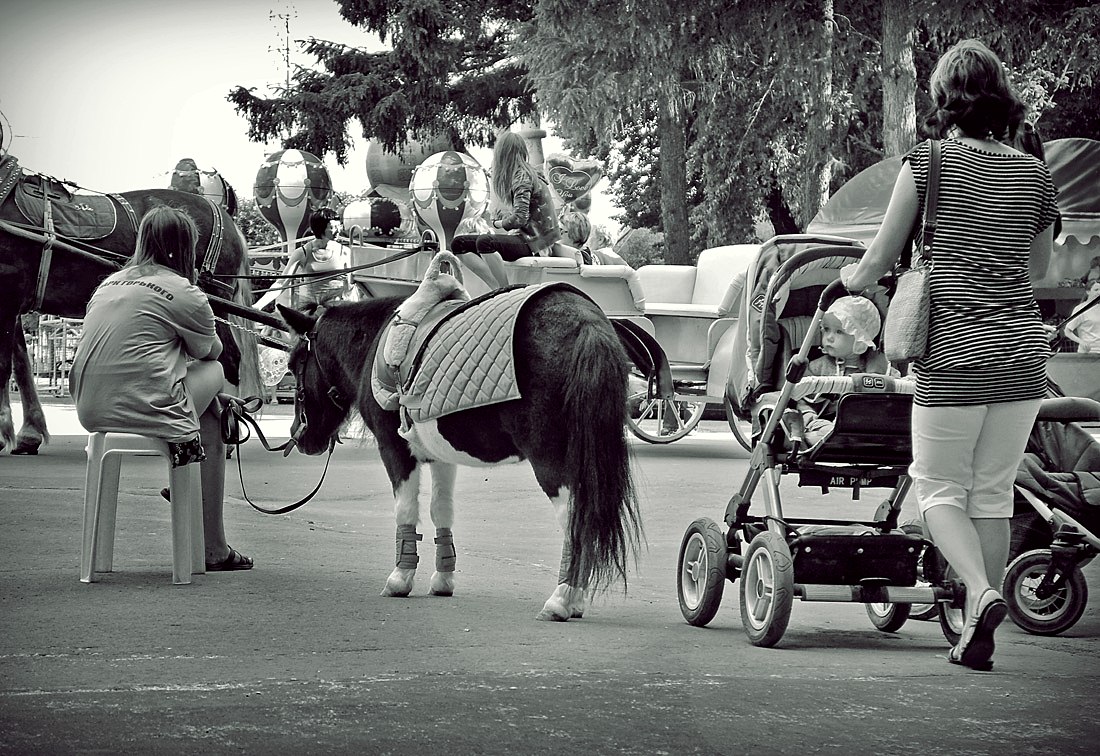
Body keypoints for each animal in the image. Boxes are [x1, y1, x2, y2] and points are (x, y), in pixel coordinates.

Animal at [1, 159, 260, 453]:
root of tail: (224, 214)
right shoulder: (14, 299)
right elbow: (21, 364)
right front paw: (29, 433)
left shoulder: (7, 290)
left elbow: (3, 365)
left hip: (214, 303)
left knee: (230, 359)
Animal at [275, 286, 646, 625]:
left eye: (294, 364)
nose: (299, 436)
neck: (377, 341)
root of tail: (586, 323)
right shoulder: (441, 456)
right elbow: (441, 510)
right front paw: (443, 579)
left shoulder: (395, 449)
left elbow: (406, 510)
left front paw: (400, 578)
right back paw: (574, 597)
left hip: (551, 462)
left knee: (573, 519)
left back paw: (561, 599)